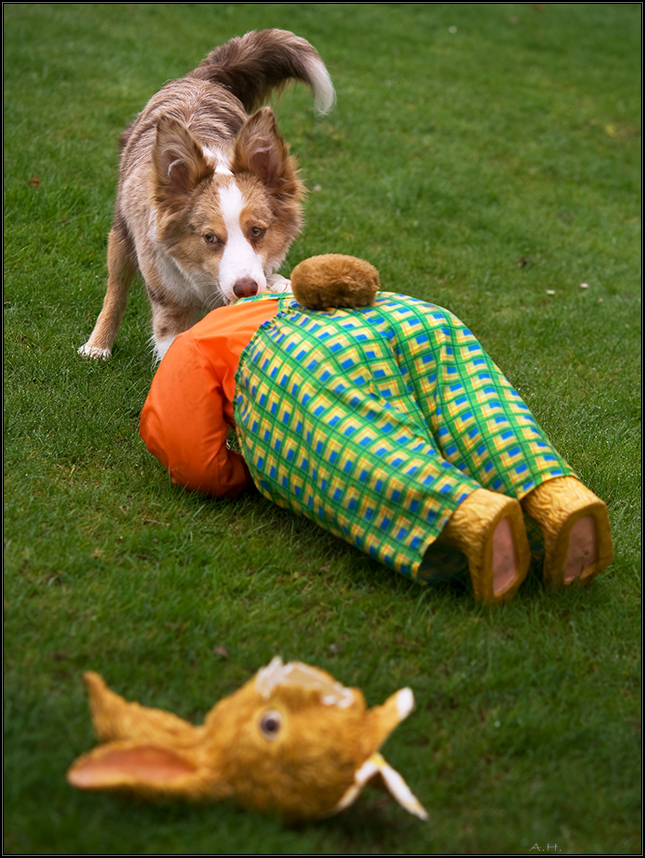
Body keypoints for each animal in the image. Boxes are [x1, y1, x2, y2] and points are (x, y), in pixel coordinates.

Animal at [78, 29, 334, 358]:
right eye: (209, 237)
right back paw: (97, 345)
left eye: (257, 231)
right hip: (122, 234)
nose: (246, 289)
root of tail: (203, 78)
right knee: (116, 288)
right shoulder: (169, 300)